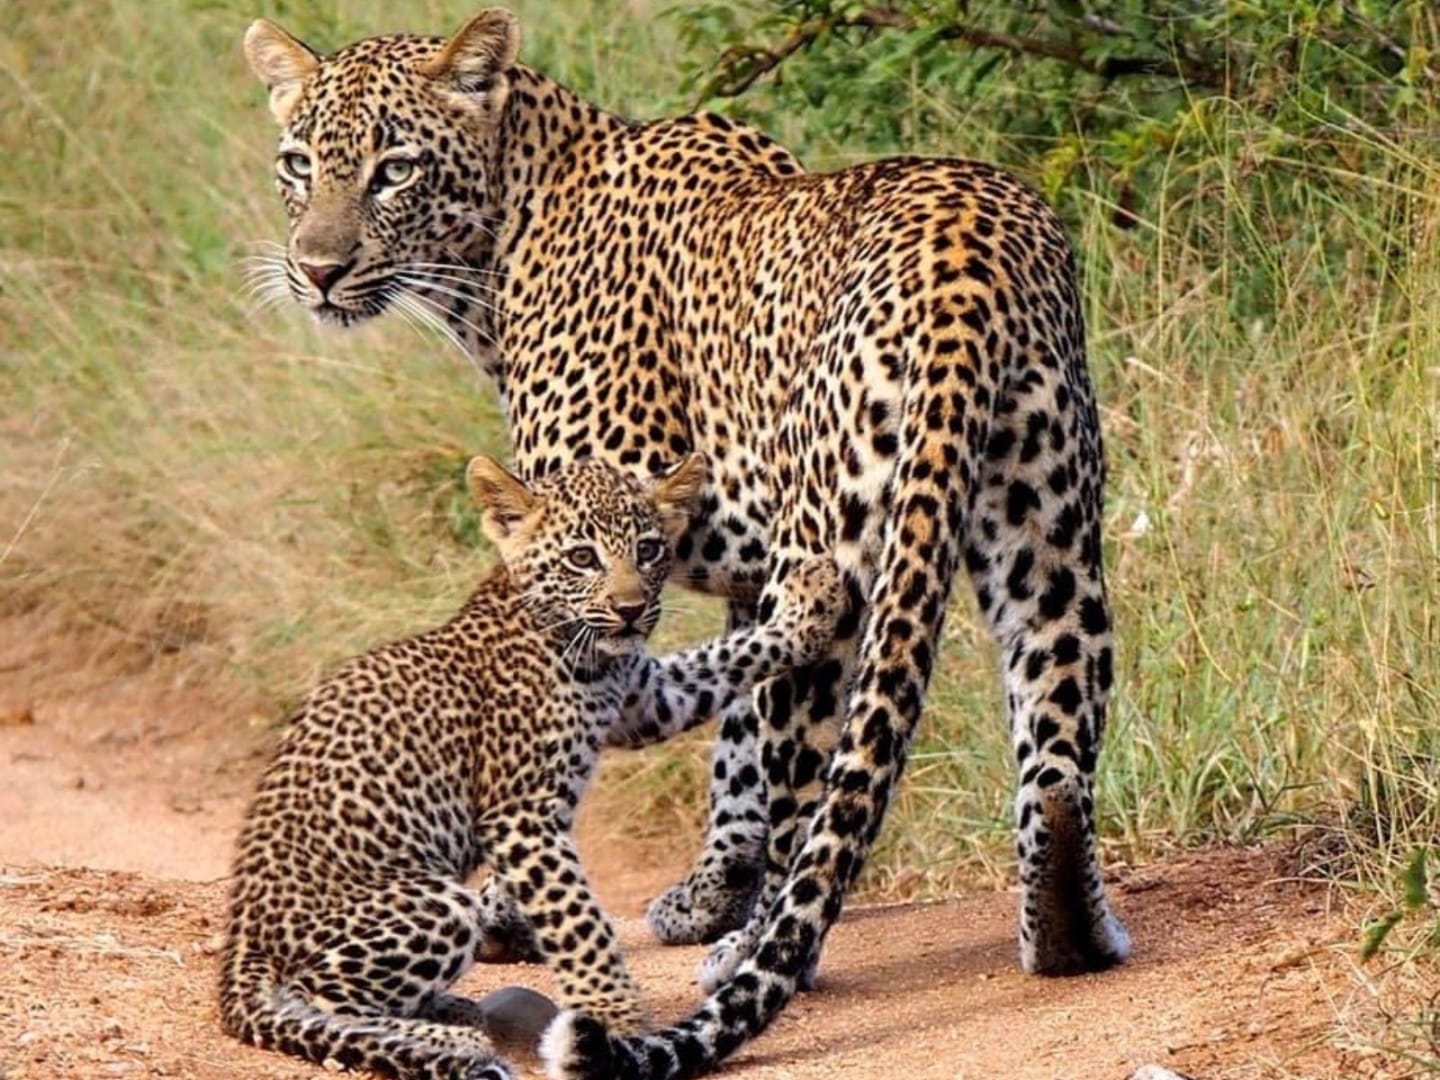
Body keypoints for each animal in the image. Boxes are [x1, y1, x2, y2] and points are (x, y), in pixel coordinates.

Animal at [218, 452, 846, 1080]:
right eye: (582, 557)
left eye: (647, 549)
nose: (630, 609)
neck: (576, 645)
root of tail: (240, 946)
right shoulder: (523, 817)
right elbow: (581, 927)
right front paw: (622, 1025)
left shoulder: (648, 699)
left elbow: (724, 657)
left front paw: (809, 604)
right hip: (439, 904)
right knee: (317, 996)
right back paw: (450, 1039)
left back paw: (453, 1011)